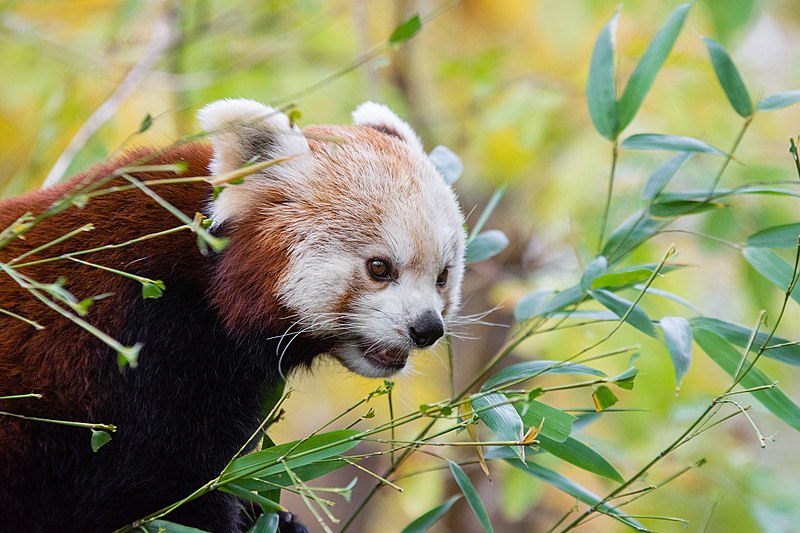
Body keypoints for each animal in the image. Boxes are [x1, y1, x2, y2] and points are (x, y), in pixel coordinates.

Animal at [0, 98, 462, 528]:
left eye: (442, 276)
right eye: (379, 268)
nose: (427, 329)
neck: (204, 279)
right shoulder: (144, 347)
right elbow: (163, 493)